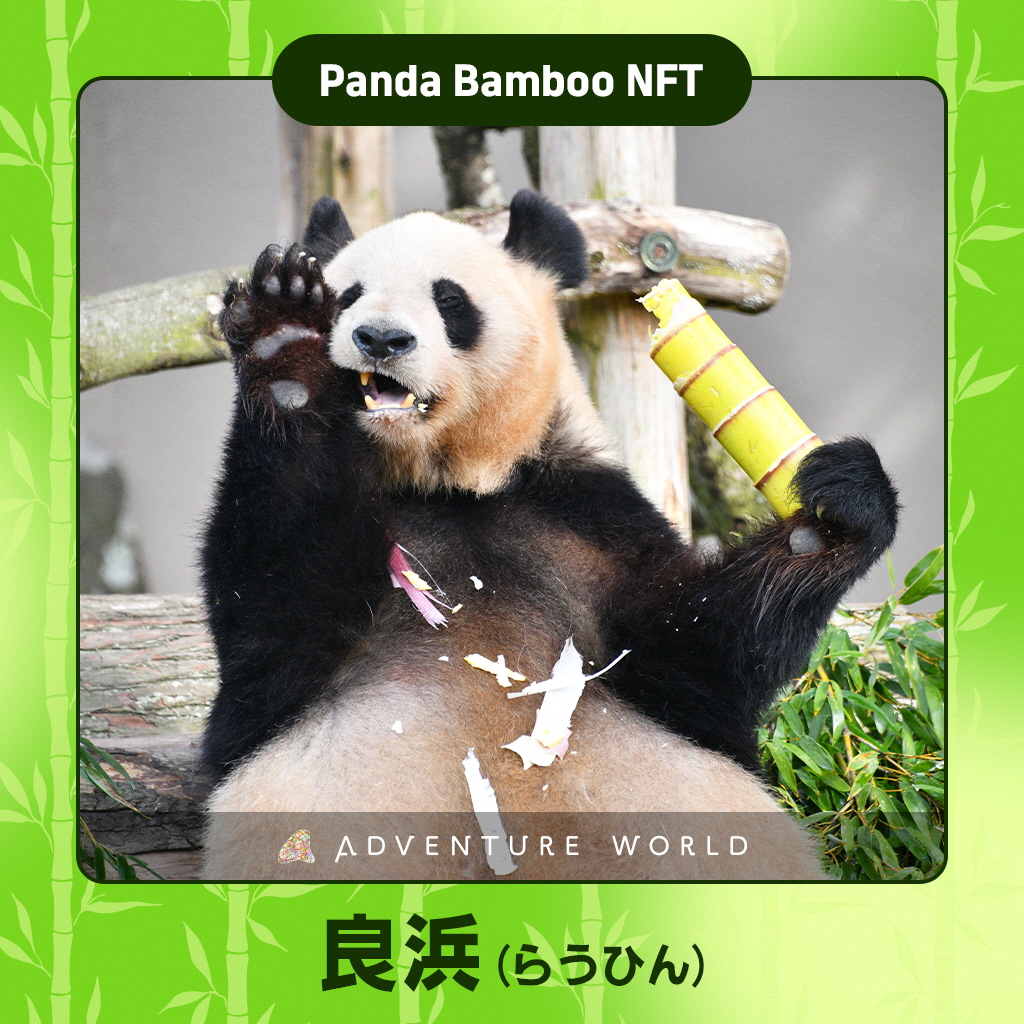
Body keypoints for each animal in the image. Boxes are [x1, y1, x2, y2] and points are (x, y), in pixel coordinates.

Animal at [200, 190, 898, 881]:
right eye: (348, 295)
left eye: (450, 301)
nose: (381, 339)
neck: (442, 479)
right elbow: (277, 611)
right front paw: (285, 342)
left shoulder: (585, 514)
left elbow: (696, 657)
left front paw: (833, 519)